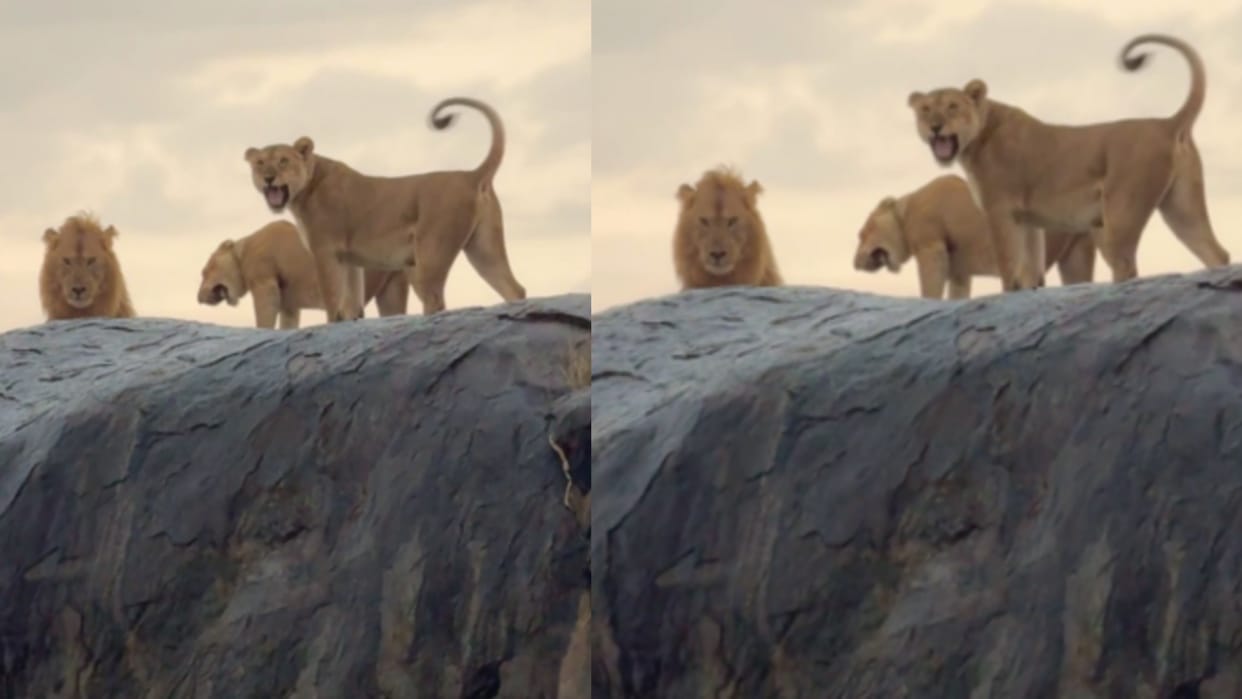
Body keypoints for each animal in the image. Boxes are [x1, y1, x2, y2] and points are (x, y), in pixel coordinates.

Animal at [197, 220, 409, 329]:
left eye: (204, 271)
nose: (198, 297)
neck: (243, 252)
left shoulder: (265, 281)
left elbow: (265, 315)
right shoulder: (289, 303)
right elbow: (288, 323)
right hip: (392, 284)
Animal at [242, 96, 526, 322]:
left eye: (283, 161)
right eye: (260, 163)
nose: (268, 178)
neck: (304, 190)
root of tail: (471, 175)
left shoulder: (325, 251)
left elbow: (332, 302)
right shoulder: (349, 259)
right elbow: (351, 304)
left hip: (430, 253)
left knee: (434, 299)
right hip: (483, 248)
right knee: (514, 289)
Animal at [853, 174, 1096, 299]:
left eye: (861, 233)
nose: (854, 262)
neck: (906, 212)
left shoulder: (931, 246)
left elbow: (930, 286)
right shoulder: (959, 270)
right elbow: (957, 294)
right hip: (1076, 252)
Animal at [906, 33, 1230, 291]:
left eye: (952, 106)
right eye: (925, 110)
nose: (935, 126)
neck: (975, 138)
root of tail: (1166, 124)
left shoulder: (999, 210)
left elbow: (1009, 269)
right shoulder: (1027, 220)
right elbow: (1030, 271)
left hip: (1120, 213)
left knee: (1125, 265)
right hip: (1181, 207)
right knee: (1217, 254)